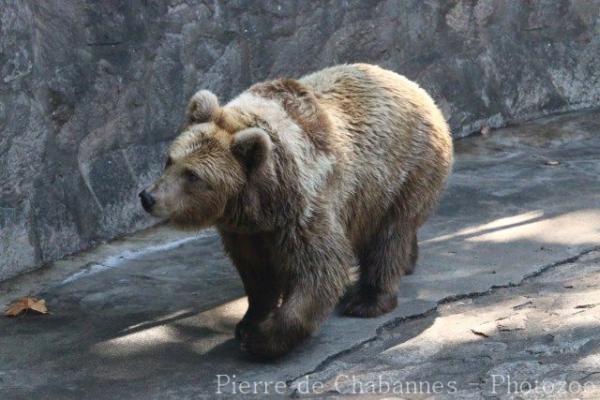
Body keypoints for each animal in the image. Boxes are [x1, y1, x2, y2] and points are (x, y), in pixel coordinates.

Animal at [139, 63, 450, 360]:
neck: (261, 201)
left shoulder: (303, 210)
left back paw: (367, 299)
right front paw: (248, 322)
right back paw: (408, 262)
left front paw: (261, 339)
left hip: (404, 173)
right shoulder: (247, 232)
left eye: (193, 175)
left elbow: (319, 270)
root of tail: (418, 89)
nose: (148, 197)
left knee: (389, 235)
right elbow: (256, 274)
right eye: (170, 160)